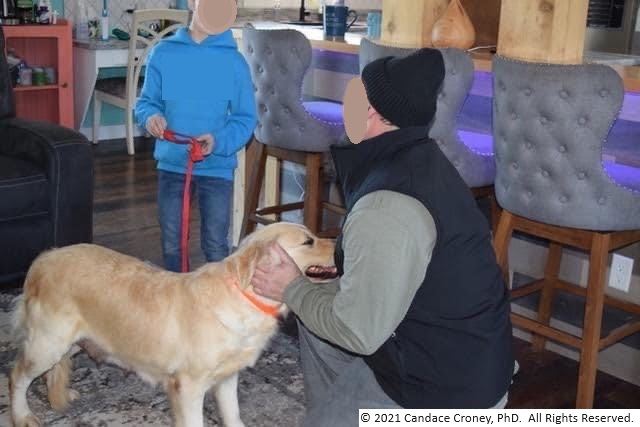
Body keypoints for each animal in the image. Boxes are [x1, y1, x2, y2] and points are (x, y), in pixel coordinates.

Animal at [8, 222, 336, 426]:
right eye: (308, 241)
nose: (338, 242)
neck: (243, 295)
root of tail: (44, 259)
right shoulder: (188, 387)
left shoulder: (228, 377)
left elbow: (233, 416)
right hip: (48, 343)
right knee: (16, 376)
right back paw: (22, 415)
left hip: (73, 340)